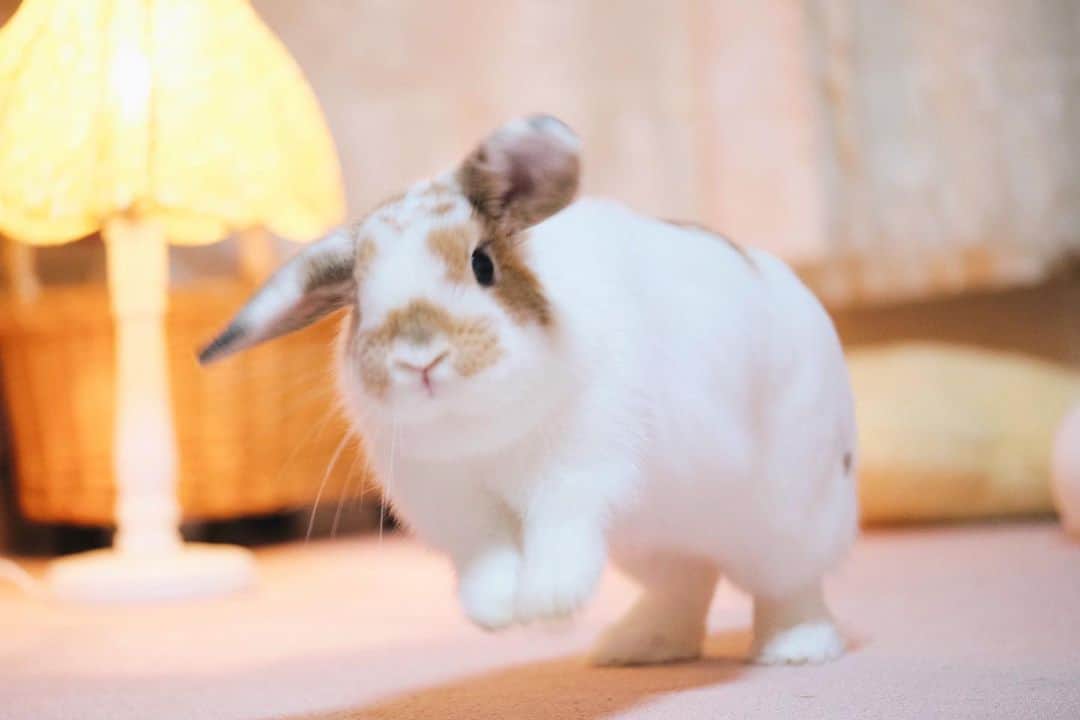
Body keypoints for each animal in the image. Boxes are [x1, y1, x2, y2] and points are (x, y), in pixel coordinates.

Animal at [199, 115, 858, 666]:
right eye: (358, 298)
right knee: (688, 584)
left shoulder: (579, 476)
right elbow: (486, 558)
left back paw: (796, 649)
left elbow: (558, 533)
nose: (419, 358)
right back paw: (635, 647)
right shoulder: (457, 509)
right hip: (658, 543)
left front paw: (547, 603)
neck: (483, 436)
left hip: (790, 516)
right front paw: (497, 615)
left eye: (482, 264)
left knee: (791, 586)